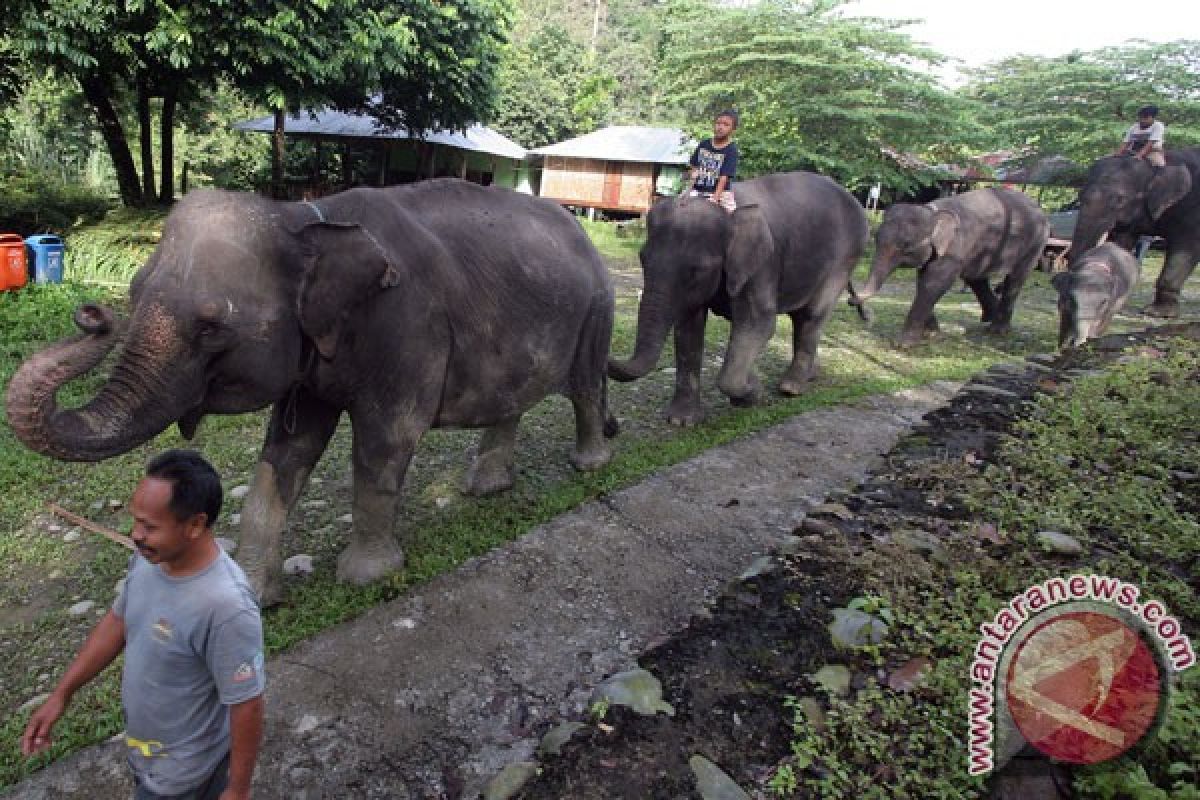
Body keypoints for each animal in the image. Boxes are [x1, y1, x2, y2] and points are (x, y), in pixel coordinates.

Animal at [2, 181, 619, 604]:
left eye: (211, 327)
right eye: (131, 292)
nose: (92, 313)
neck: (303, 218)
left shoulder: (409, 327)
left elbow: (386, 441)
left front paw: (366, 576)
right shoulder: (311, 363)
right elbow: (287, 451)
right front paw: (256, 593)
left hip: (597, 308)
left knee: (585, 386)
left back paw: (589, 464)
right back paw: (489, 487)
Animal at [604, 170, 868, 424]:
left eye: (697, 270)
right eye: (642, 259)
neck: (727, 213)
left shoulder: (762, 266)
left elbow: (758, 325)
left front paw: (752, 392)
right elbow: (689, 329)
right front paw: (681, 421)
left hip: (844, 259)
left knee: (813, 315)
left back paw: (791, 388)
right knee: (801, 318)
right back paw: (810, 375)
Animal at [849, 190, 1046, 347]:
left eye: (906, 245)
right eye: (876, 238)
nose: (852, 301)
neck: (932, 212)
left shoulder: (954, 249)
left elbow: (934, 283)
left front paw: (903, 344)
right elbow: (923, 280)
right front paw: (931, 334)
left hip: (1035, 244)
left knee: (1015, 279)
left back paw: (996, 331)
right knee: (976, 279)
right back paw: (989, 319)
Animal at [1065, 149, 1195, 316]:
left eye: (1120, 200)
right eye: (1079, 195)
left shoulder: (1191, 212)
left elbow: (1185, 249)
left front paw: (1157, 312)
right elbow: (1122, 242)